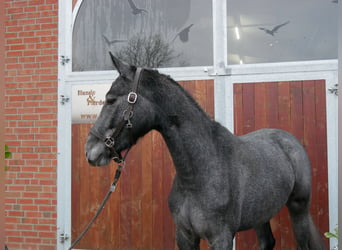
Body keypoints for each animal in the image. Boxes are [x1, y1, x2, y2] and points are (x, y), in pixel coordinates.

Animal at [84, 51, 324, 249]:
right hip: (261, 214)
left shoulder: (221, 238)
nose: (89, 150)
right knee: (267, 242)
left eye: (110, 99)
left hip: (299, 208)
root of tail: (289, 140)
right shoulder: (185, 236)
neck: (199, 173)